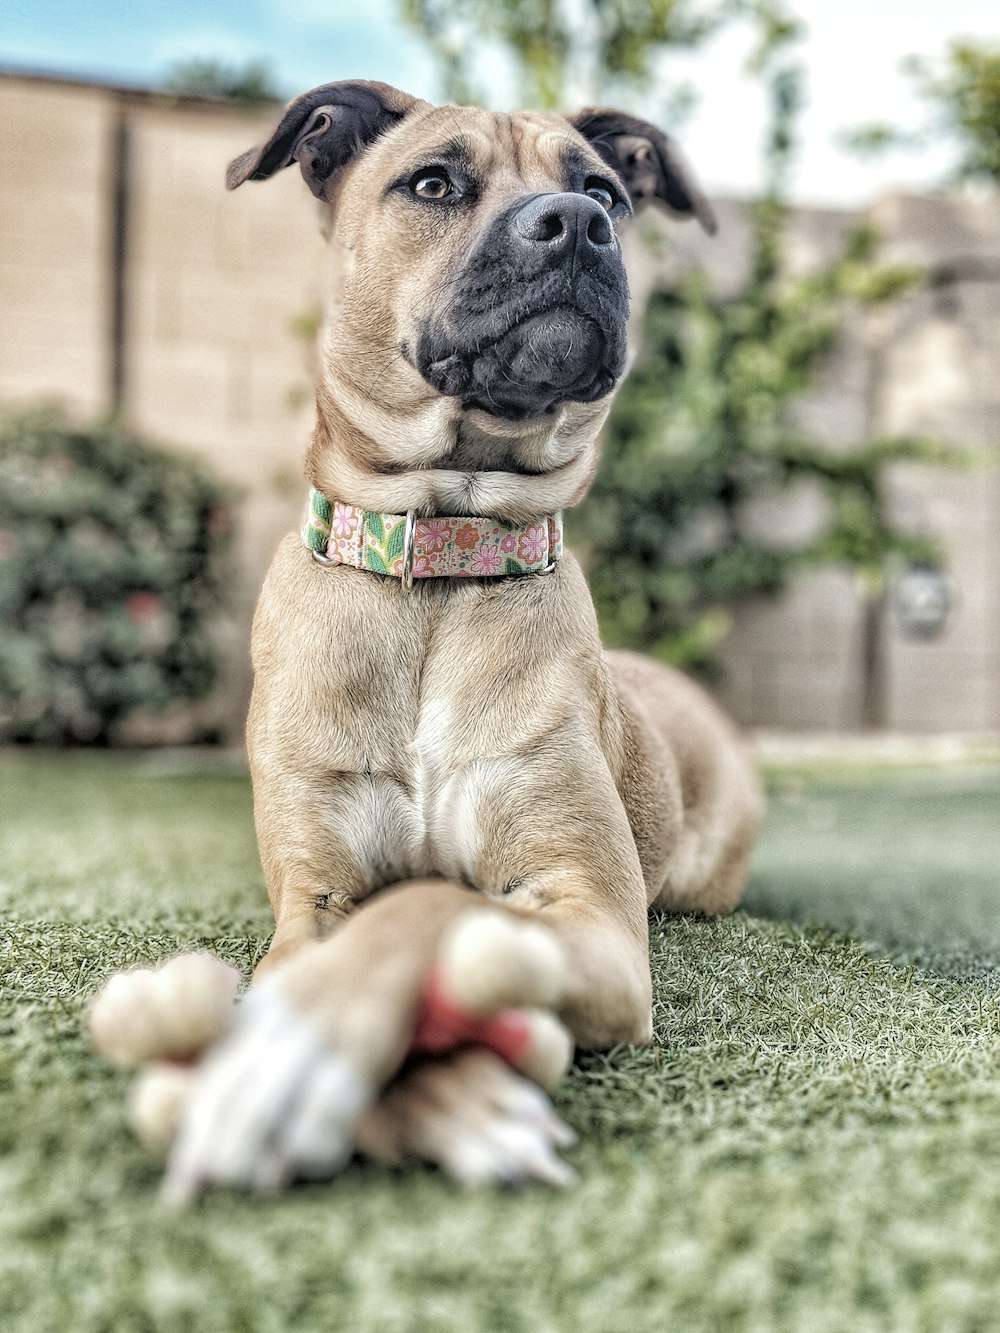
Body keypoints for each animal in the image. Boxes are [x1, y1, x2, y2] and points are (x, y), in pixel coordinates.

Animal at [160, 75, 762, 1199]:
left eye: (604, 193)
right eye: (433, 183)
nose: (575, 226)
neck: (440, 568)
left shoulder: (588, 908)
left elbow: (436, 907)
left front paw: (302, 1051)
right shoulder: (311, 892)